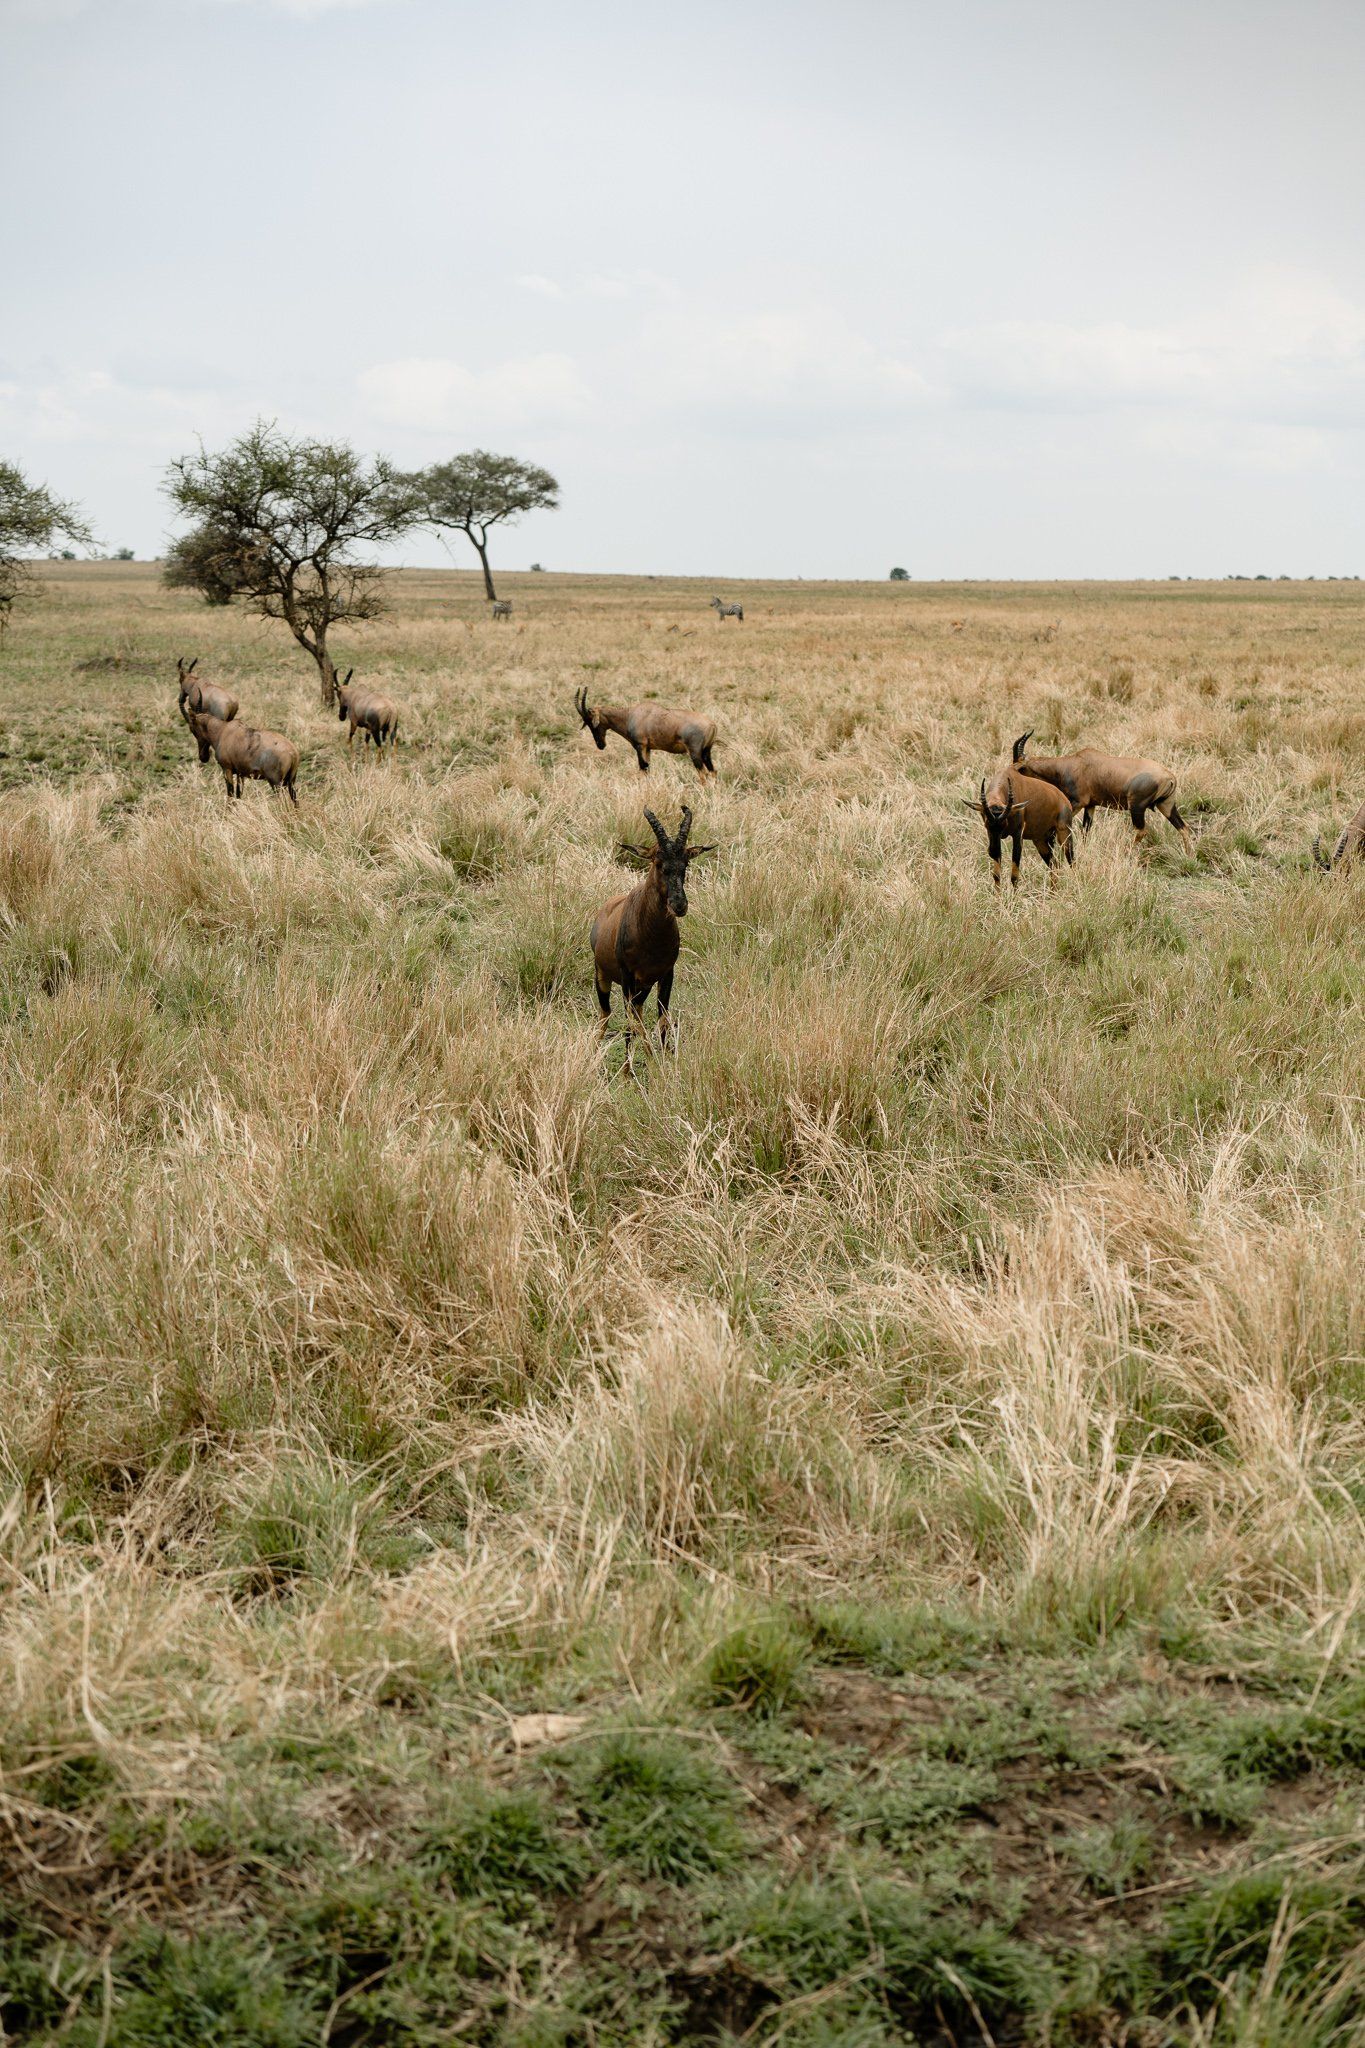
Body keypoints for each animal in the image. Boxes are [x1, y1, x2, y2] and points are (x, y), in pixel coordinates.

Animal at [575, 687, 717, 781]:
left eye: (591, 722)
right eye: (586, 723)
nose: (600, 745)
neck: (630, 715)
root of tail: (712, 724)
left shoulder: (640, 745)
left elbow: (643, 767)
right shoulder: (648, 748)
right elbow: (647, 769)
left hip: (695, 752)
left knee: (703, 774)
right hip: (706, 751)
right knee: (713, 771)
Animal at [591, 805, 715, 1055]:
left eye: (685, 863)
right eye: (658, 862)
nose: (679, 905)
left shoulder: (666, 975)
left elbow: (662, 1021)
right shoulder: (627, 976)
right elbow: (635, 1025)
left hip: (643, 988)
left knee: (634, 1015)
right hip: (603, 976)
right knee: (607, 1015)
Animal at [1011, 733, 1191, 850]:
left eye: (1019, 769)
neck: (1075, 763)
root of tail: (1170, 777)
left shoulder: (1078, 802)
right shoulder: (1090, 805)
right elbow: (1086, 830)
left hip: (1137, 807)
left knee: (1141, 831)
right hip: (1166, 805)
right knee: (1184, 828)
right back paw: (1189, 856)